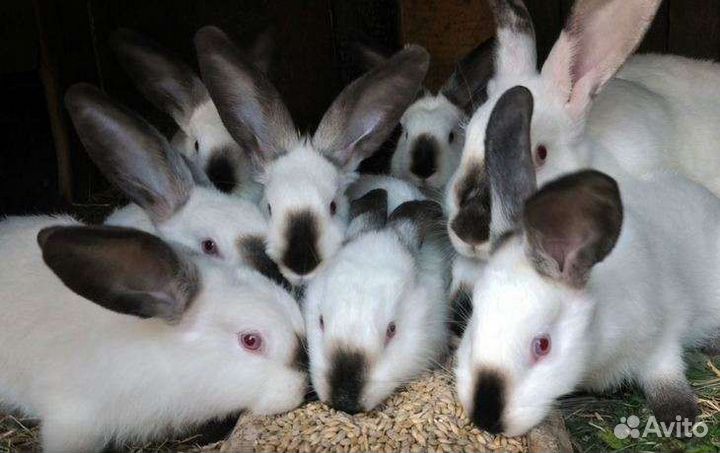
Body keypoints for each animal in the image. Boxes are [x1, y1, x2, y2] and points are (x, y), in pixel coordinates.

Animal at [454, 85, 720, 437]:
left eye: (543, 345)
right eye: (474, 316)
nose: (486, 418)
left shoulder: (662, 335)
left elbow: (665, 374)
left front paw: (680, 419)